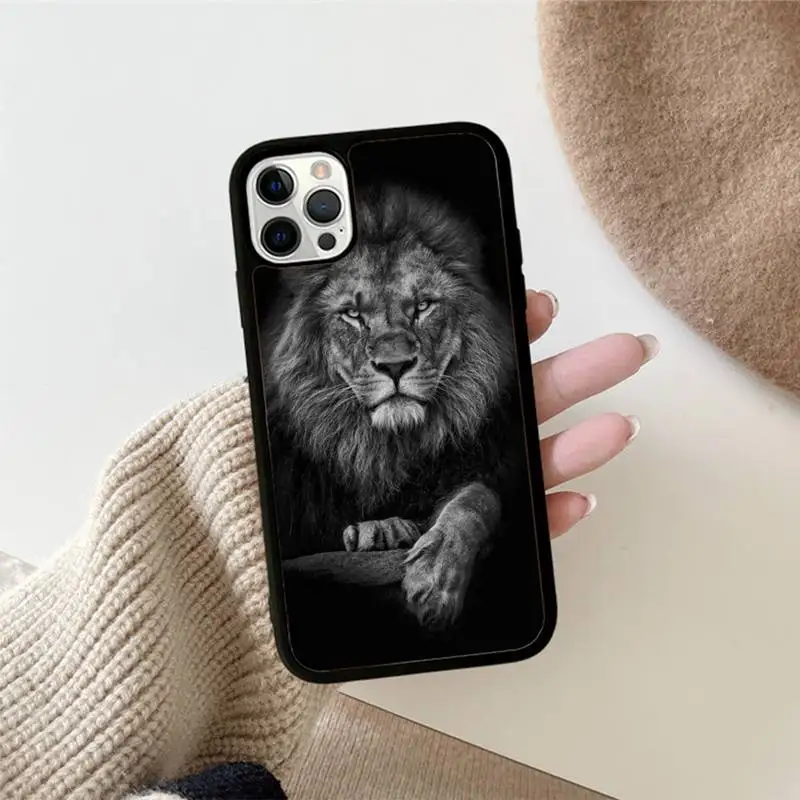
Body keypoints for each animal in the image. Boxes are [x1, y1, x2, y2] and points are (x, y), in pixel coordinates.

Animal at [261, 184, 519, 629]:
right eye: (352, 314)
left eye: (423, 306)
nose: (395, 365)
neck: (385, 450)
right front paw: (378, 533)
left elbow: (477, 499)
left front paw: (435, 578)